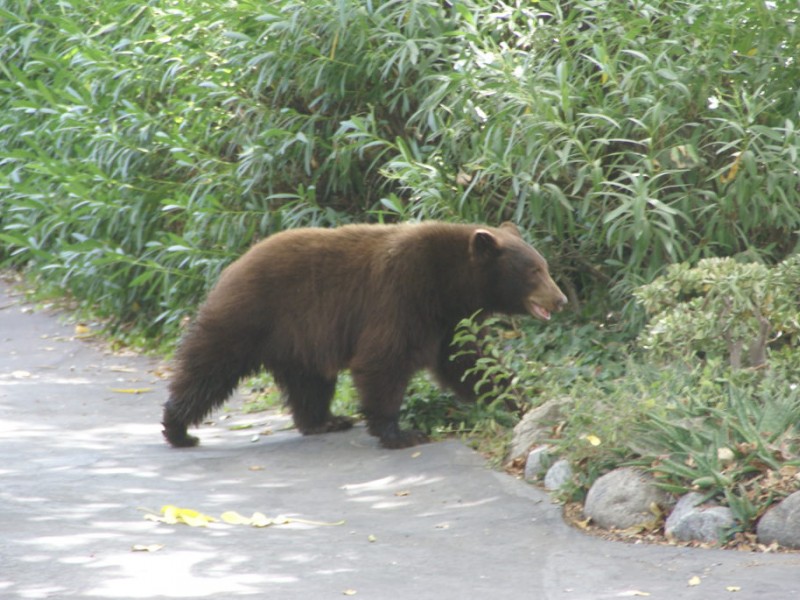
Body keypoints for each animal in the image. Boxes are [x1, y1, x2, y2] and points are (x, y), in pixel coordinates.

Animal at [162, 221, 567, 449]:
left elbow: (468, 364)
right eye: (534, 271)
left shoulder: (448, 321)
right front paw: (400, 433)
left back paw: (324, 420)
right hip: (253, 315)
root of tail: (232, 265)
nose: (561, 299)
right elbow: (383, 359)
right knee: (209, 367)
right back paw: (178, 428)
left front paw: (520, 403)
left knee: (309, 383)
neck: (450, 283)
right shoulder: (402, 294)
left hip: (300, 340)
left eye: (544, 266)